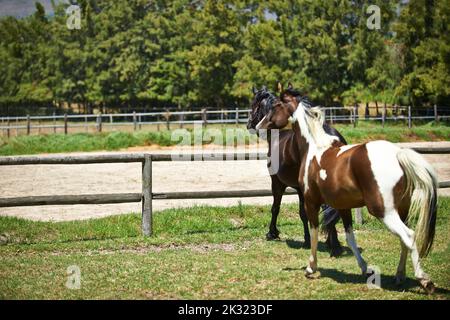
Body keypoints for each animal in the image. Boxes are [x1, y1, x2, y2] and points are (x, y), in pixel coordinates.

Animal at [248, 85, 346, 258]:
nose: (251, 125)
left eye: (254, 105)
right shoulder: (300, 188)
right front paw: (308, 239)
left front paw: (272, 233)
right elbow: (304, 212)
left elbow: (277, 208)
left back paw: (334, 245)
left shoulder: (278, 183)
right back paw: (333, 243)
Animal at [258, 91, 438, 294]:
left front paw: (311, 268)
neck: (314, 148)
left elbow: (313, 232)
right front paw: (365, 268)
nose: (259, 126)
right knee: (403, 240)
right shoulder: (343, 207)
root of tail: (398, 155)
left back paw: (424, 280)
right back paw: (399, 276)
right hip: (402, 210)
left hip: (384, 212)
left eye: (276, 105)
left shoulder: (311, 202)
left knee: (408, 235)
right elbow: (350, 238)